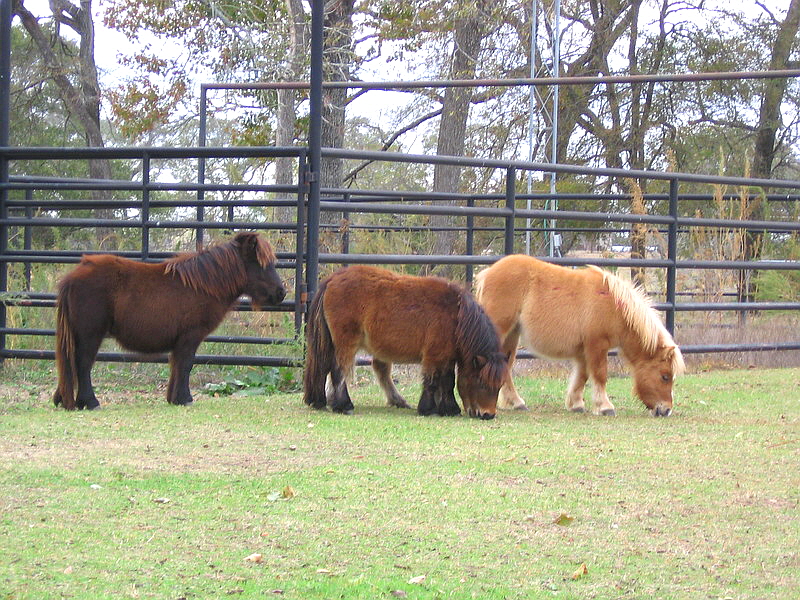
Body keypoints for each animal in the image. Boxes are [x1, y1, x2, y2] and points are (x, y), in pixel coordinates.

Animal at [52, 232, 286, 410]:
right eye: (261, 264)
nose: (281, 293)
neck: (203, 285)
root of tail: (73, 276)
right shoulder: (190, 337)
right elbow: (185, 365)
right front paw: (184, 398)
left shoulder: (180, 341)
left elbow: (176, 365)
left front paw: (174, 399)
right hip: (90, 335)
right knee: (82, 364)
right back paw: (90, 402)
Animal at [303, 265, 508, 419]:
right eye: (481, 383)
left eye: (499, 386)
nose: (488, 414)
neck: (456, 315)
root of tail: (333, 279)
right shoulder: (434, 355)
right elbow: (432, 381)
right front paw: (429, 409)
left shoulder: (447, 356)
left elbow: (447, 381)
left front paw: (449, 408)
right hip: (346, 343)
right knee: (339, 370)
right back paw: (343, 405)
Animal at [475, 255, 684, 417]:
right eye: (665, 376)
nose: (666, 410)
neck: (614, 305)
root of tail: (488, 273)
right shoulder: (597, 345)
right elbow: (599, 375)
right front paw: (605, 407)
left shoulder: (583, 350)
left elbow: (582, 376)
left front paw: (576, 404)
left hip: (512, 335)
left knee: (506, 366)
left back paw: (516, 402)